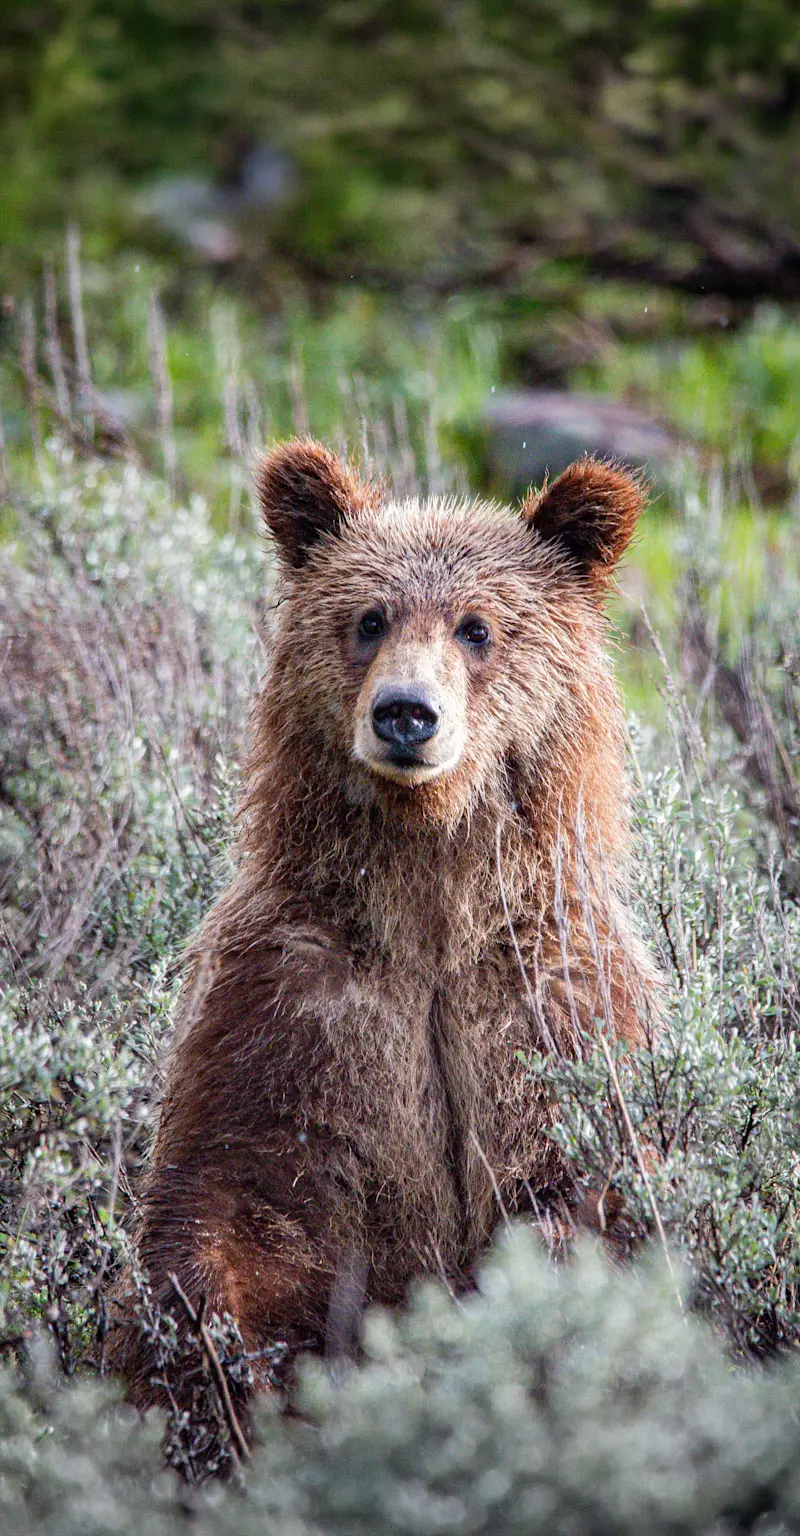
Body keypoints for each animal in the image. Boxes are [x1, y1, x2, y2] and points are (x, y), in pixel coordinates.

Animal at [111, 438, 658, 1412]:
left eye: (477, 627)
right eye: (369, 618)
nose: (406, 711)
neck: (430, 909)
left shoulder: (551, 999)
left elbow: (582, 1187)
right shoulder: (300, 996)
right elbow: (238, 1196)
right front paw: (218, 1353)